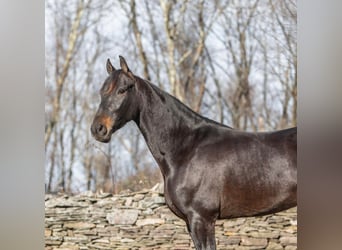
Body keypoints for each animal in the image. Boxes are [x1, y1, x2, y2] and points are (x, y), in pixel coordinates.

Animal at [91, 55, 296, 249]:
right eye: (101, 92)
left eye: (122, 90)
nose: (98, 129)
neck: (186, 147)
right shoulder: (191, 222)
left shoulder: (201, 219)